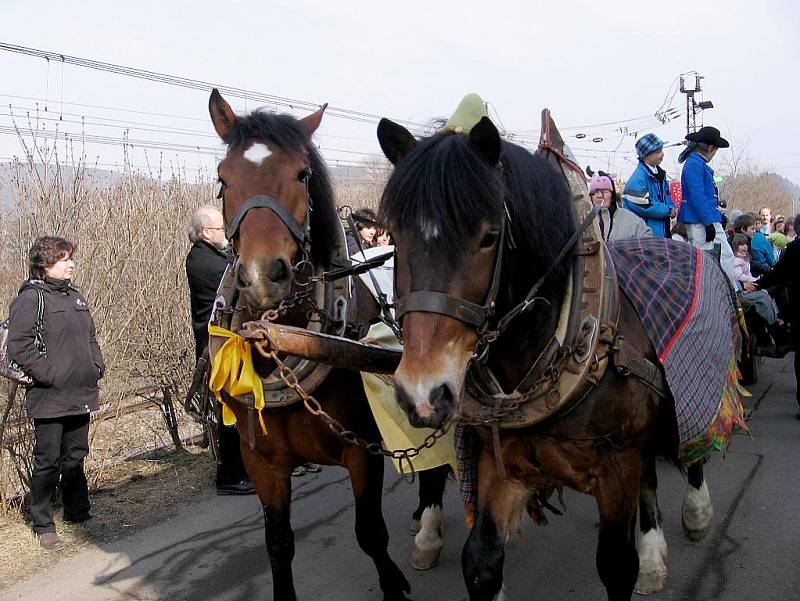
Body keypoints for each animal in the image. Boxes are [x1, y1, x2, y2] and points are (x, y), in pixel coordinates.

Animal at [208, 89, 450, 600]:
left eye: (302, 174)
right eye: (223, 178)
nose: (263, 275)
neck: (287, 339)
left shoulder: (363, 449)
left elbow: (370, 533)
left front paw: (394, 586)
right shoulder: (262, 462)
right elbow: (278, 544)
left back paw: (428, 529)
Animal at [376, 113, 724, 600]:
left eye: (489, 236)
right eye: (394, 235)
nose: (423, 394)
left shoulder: (617, 463)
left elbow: (616, 565)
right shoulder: (499, 460)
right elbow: (481, 561)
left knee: (691, 448)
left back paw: (696, 513)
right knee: (650, 476)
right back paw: (655, 557)